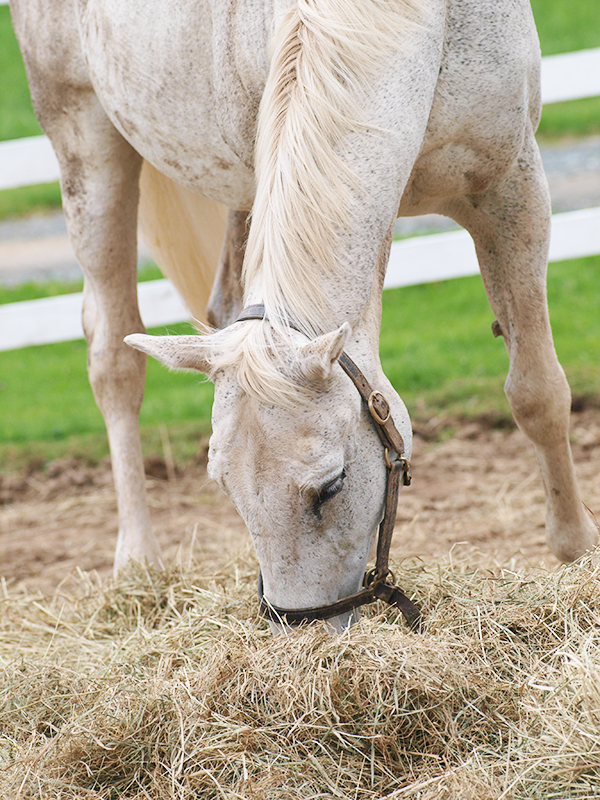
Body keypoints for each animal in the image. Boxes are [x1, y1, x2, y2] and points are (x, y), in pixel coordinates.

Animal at [11, 0, 597, 631]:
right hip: (84, 142)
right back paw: (138, 567)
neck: (417, 27)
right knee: (113, 361)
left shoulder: (512, 188)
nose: (301, 633)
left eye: (332, 486)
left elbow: (537, 392)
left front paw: (576, 552)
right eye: (225, 488)